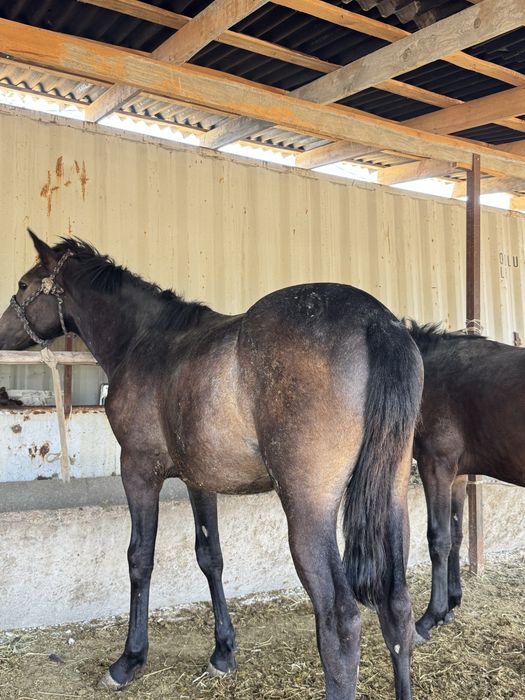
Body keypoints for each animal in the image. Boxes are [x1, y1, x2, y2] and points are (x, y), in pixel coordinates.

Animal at [0, 230, 423, 700]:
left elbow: (140, 557)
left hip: (309, 510)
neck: (146, 341)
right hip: (391, 499)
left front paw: (129, 660)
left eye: (22, 284)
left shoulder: (138, 470)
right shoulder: (198, 479)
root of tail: (375, 322)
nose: (1, 333)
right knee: (397, 608)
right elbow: (211, 556)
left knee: (341, 619)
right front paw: (223, 652)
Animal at [406, 320, 525, 643]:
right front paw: (450, 604)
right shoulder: (457, 475)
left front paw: (429, 617)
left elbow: (439, 539)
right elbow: (457, 535)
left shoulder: (435, 466)